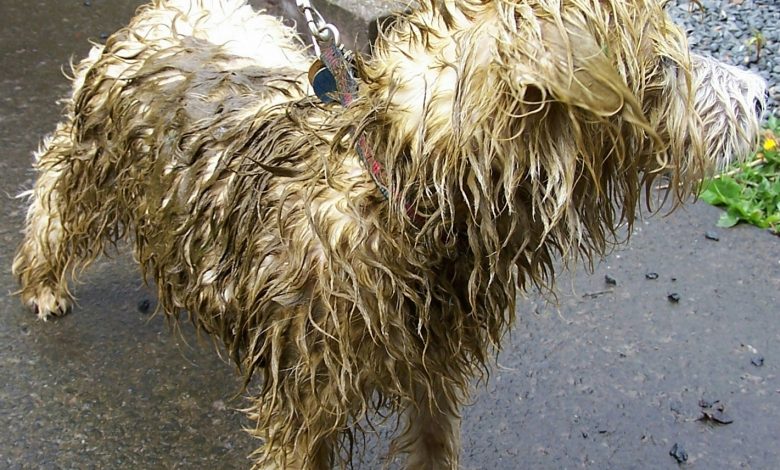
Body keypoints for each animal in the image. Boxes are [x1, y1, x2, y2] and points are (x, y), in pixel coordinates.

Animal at [13, 0, 768, 468]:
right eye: (665, 68)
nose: (763, 95)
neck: (405, 200)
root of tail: (161, 14)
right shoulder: (307, 399)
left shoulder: (434, 366)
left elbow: (433, 446)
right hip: (93, 157)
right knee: (52, 190)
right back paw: (43, 281)